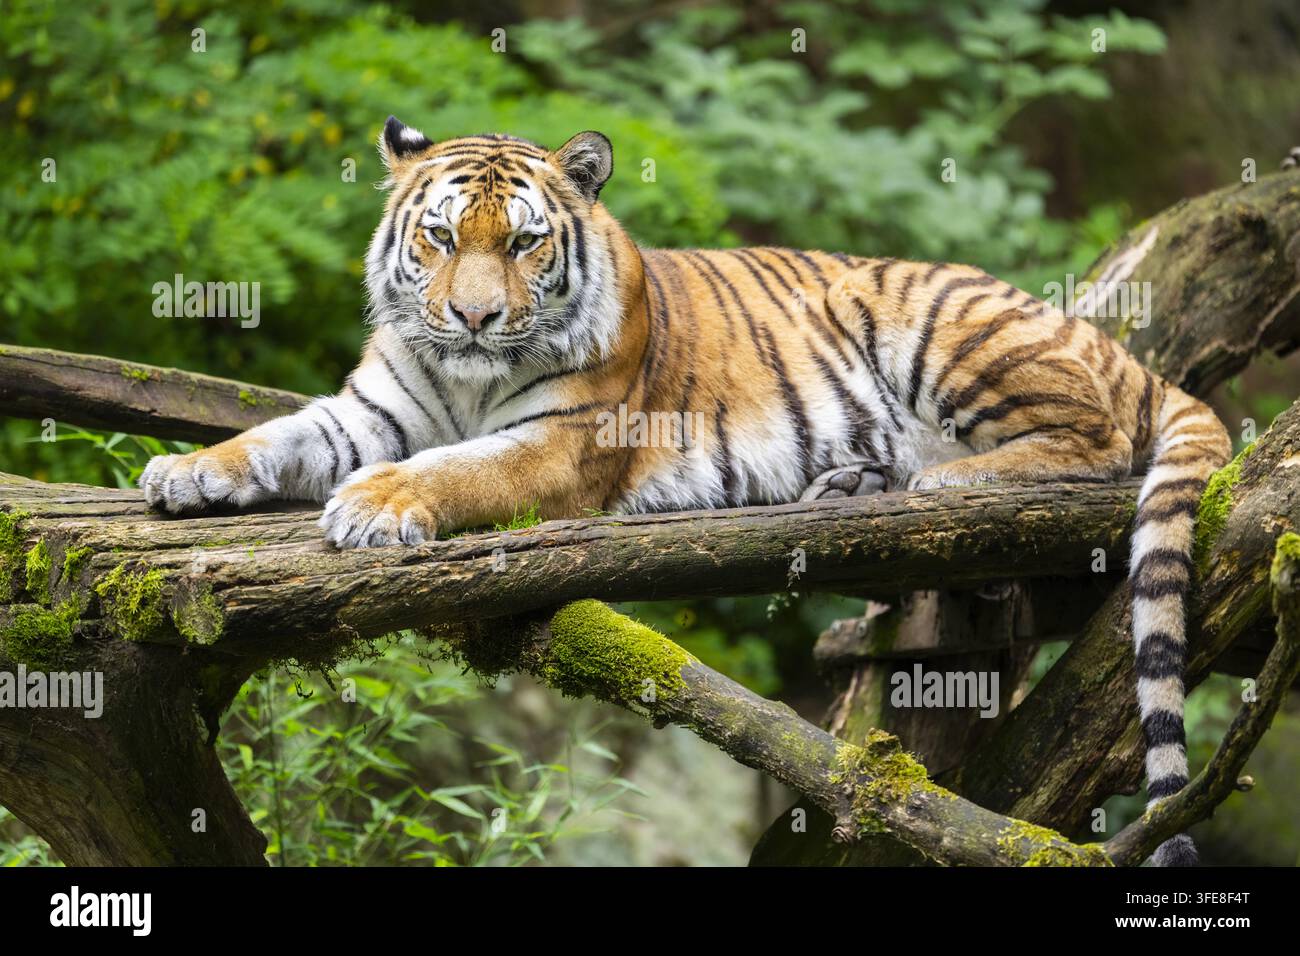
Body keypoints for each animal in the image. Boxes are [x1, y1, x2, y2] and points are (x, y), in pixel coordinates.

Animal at [141, 116, 1231, 866]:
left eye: (524, 243)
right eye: (442, 238)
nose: (475, 318)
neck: (465, 376)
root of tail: (1109, 343)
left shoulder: (559, 444)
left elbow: (457, 468)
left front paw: (371, 505)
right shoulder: (367, 409)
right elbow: (276, 435)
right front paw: (182, 471)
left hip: (938, 325)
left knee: (1092, 439)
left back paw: (940, 475)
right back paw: (846, 478)